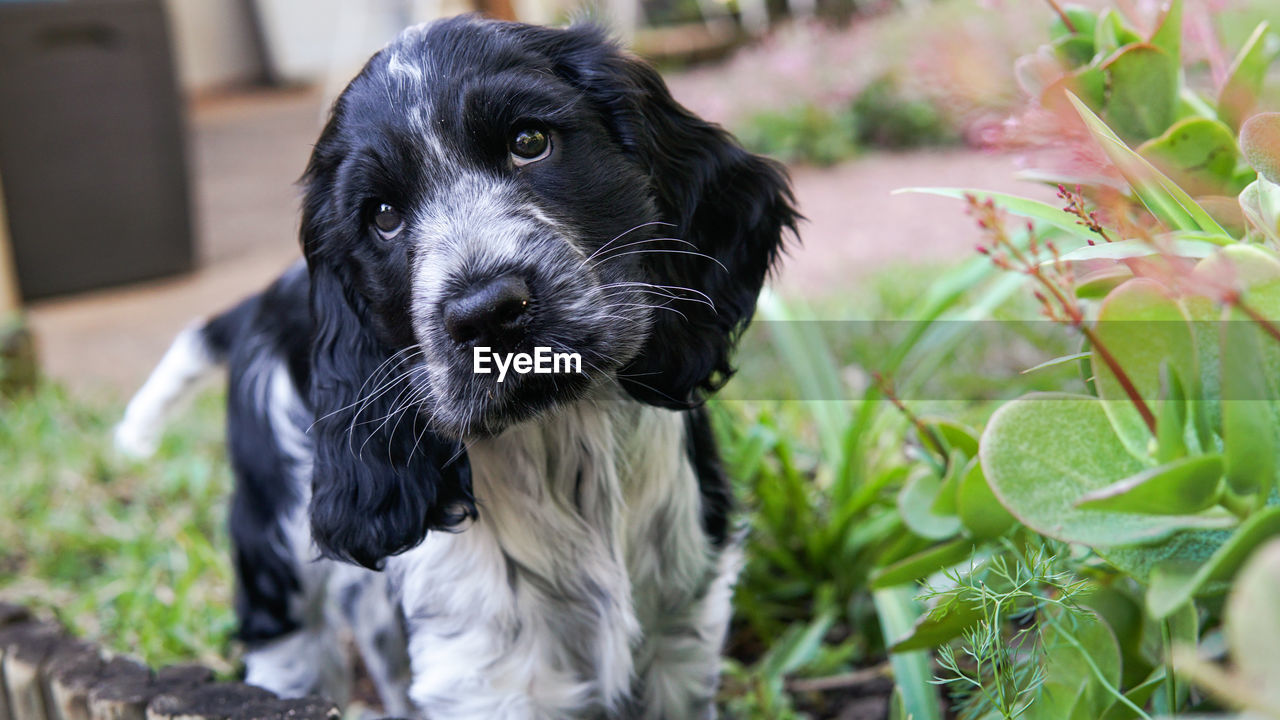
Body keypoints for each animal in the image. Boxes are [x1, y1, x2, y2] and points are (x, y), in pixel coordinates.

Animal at [120, 16, 798, 717]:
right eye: (383, 217)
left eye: (530, 142)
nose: (487, 313)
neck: (562, 442)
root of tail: (263, 299)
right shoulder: (482, 674)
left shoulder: (682, 634)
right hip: (276, 559)